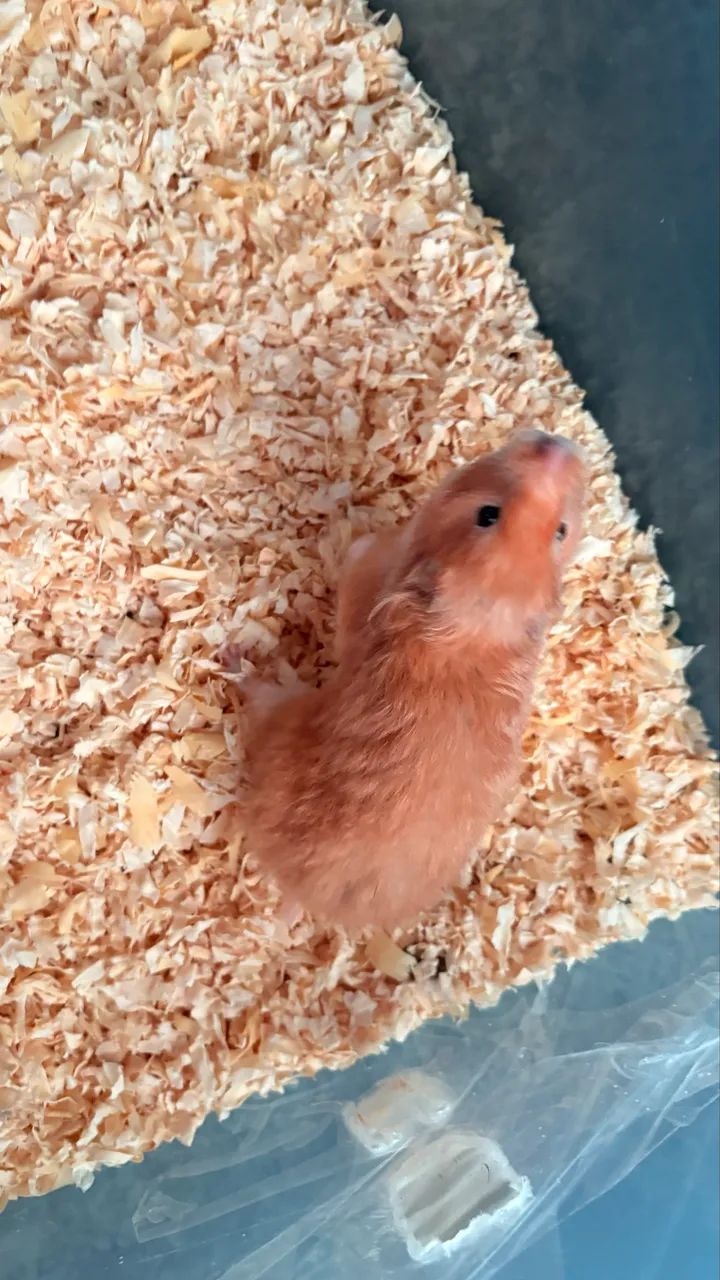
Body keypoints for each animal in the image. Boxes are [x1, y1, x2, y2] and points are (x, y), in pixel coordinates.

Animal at [242, 429, 585, 932]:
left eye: (559, 530)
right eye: (489, 514)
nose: (556, 444)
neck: (475, 625)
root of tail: (303, 897)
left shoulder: (366, 577)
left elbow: (358, 558)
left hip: (284, 722)